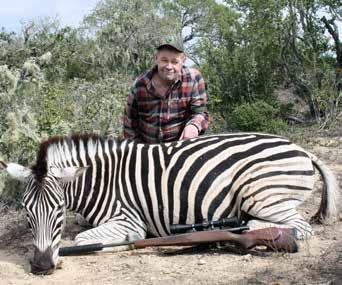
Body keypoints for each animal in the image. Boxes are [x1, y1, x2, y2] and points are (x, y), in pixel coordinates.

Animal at [0, 133, 338, 272]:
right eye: (27, 212)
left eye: (57, 210)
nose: (42, 266)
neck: (101, 180)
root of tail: (302, 149)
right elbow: (82, 226)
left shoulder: (128, 219)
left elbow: (84, 239)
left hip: (261, 193)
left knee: (298, 226)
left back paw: (252, 227)